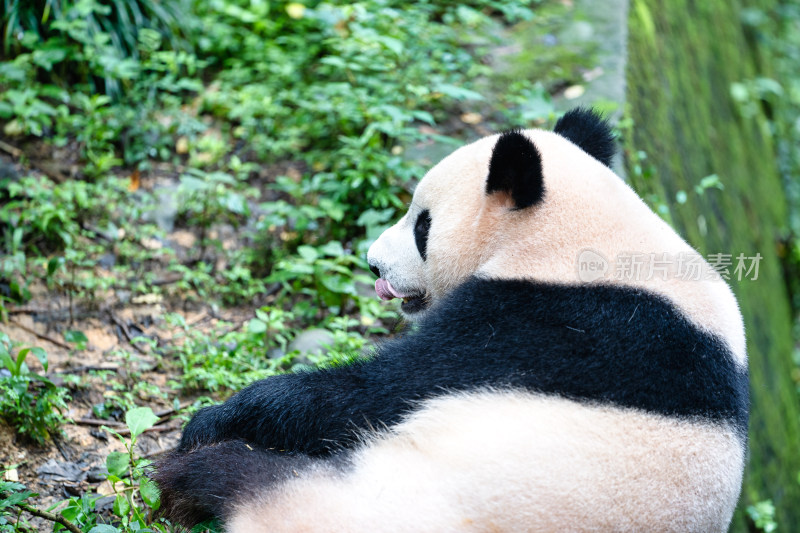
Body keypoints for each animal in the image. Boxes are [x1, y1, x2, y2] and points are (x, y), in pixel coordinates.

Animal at [156, 109, 752, 532]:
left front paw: (215, 418)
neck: (588, 240)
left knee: (265, 484)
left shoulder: (543, 323)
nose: (373, 263)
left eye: (422, 224)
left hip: (387, 503)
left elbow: (381, 391)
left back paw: (193, 480)